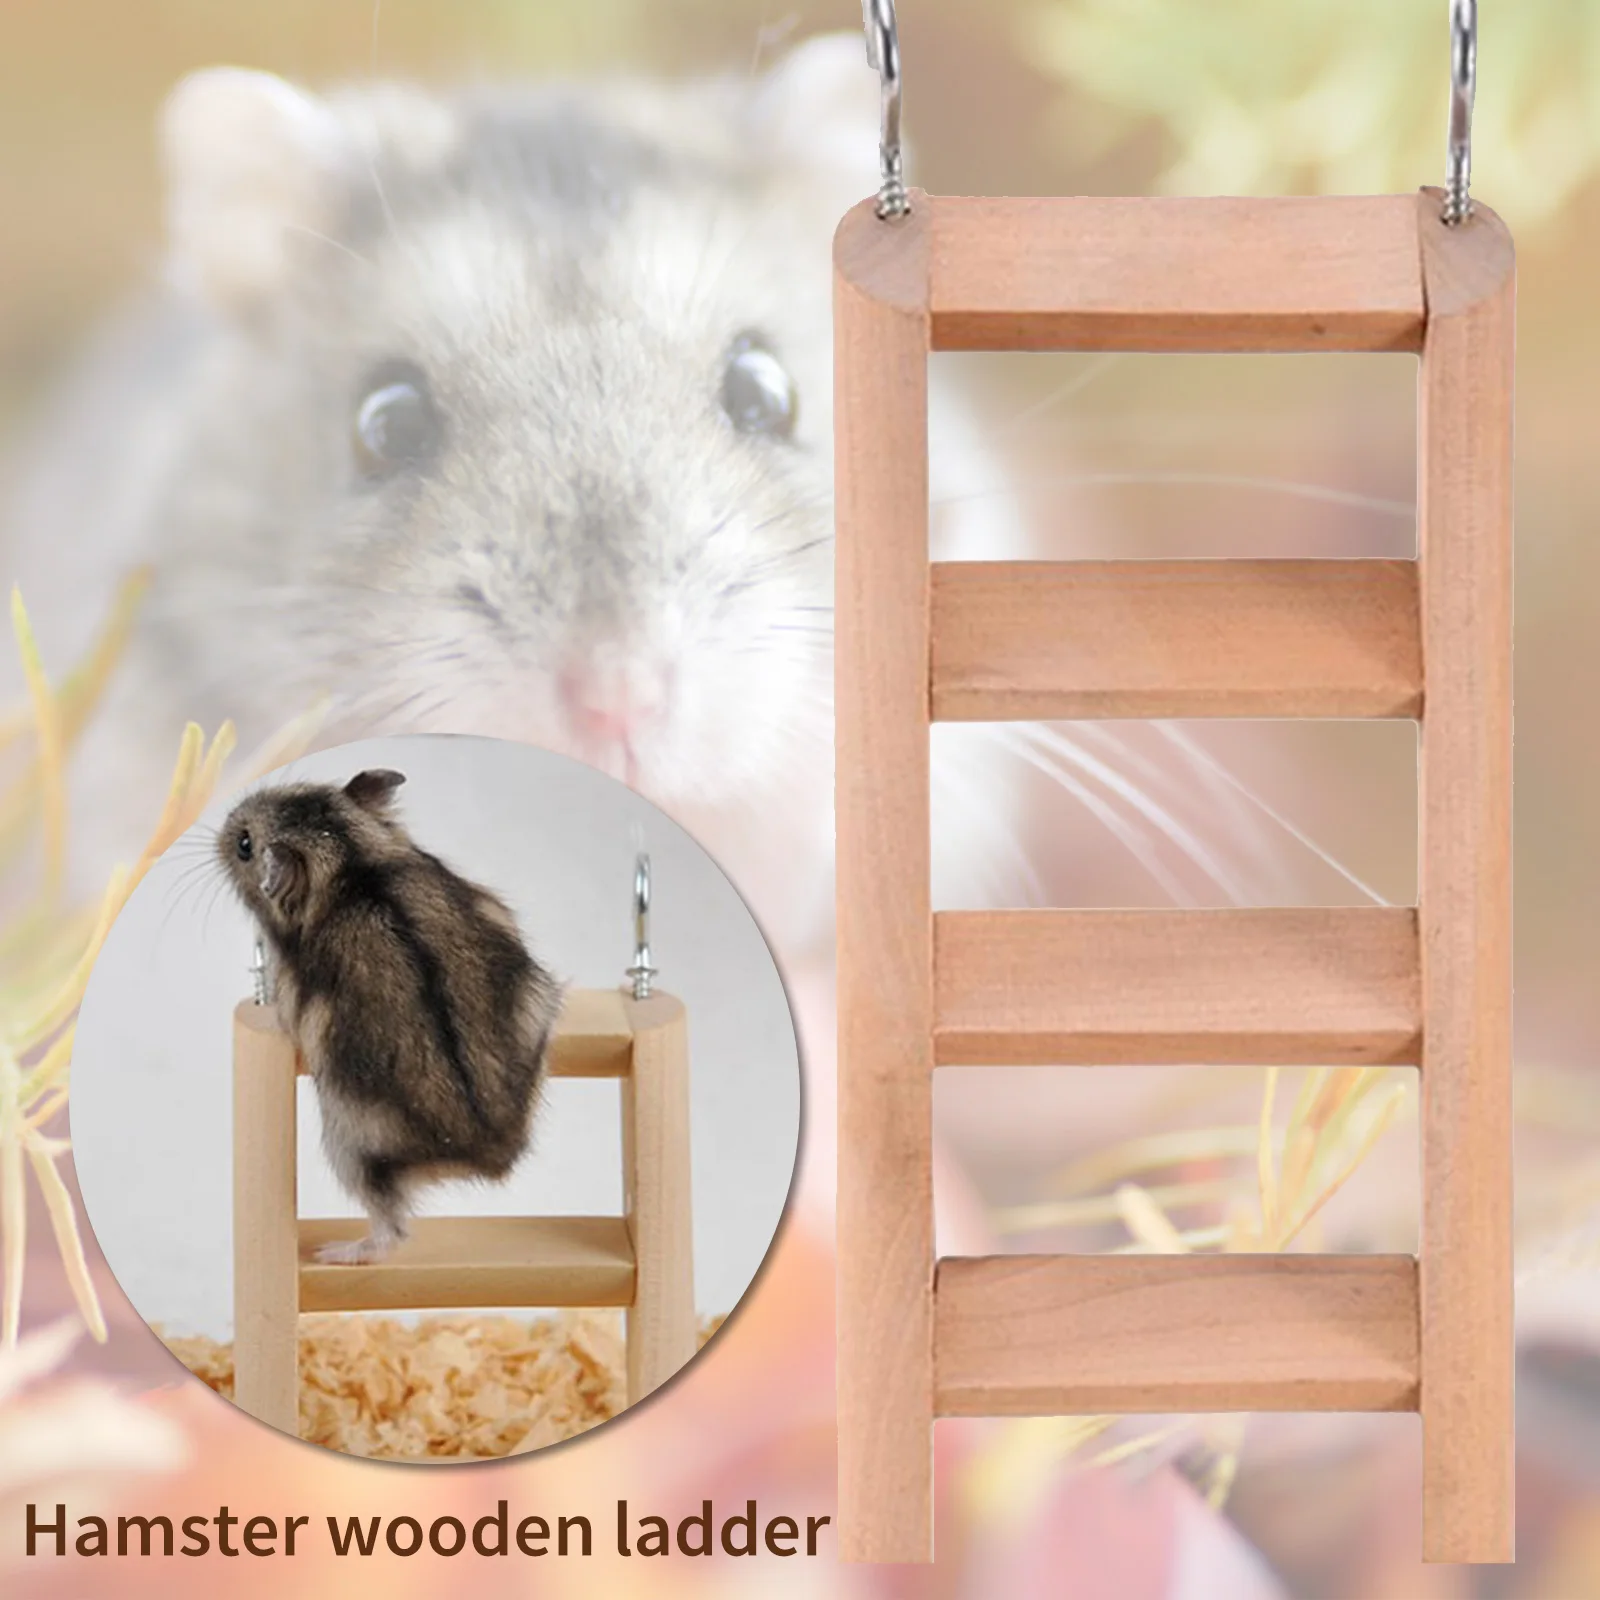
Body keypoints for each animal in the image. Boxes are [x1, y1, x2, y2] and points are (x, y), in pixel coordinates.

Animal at [218, 767, 563, 1264]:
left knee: (391, 1230)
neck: (351, 865)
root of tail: (491, 1155)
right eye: (300, 789)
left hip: (350, 1146)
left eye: (244, 844)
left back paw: (332, 1253)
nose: (226, 822)